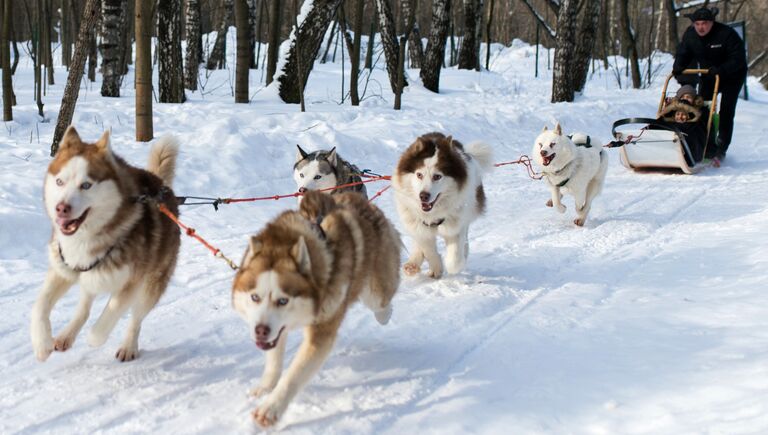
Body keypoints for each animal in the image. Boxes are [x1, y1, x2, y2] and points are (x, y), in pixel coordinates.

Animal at [30, 127, 181, 364]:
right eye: (60, 182)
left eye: (86, 185)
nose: (61, 208)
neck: (87, 237)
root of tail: (162, 187)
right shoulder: (63, 269)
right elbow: (39, 306)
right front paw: (41, 343)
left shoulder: (133, 281)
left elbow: (112, 311)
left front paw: (94, 337)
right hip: (91, 275)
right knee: (84, 306)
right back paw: (67, 335)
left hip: (151, 284)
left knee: (136, 318)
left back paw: (128, 346)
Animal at [231, 192, 402, 430]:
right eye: (255, 297)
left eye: (283, 300)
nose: (261, 331)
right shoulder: (277, 330)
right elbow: (274, 361)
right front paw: (265, 387)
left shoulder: (321, 332)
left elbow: (293, 375)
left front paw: (271, 408)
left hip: (376, 291)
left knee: (382, 299)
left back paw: (385, 314)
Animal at [392, 131, 496, 280]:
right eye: (419, 175)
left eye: (437, 176)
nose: (423, 196)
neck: (433, 213)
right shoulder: (419, 223)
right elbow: (427, 247)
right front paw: (436, 268)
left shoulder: (456, 223)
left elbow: (454, 258)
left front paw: (453, 264)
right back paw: (412, 264)